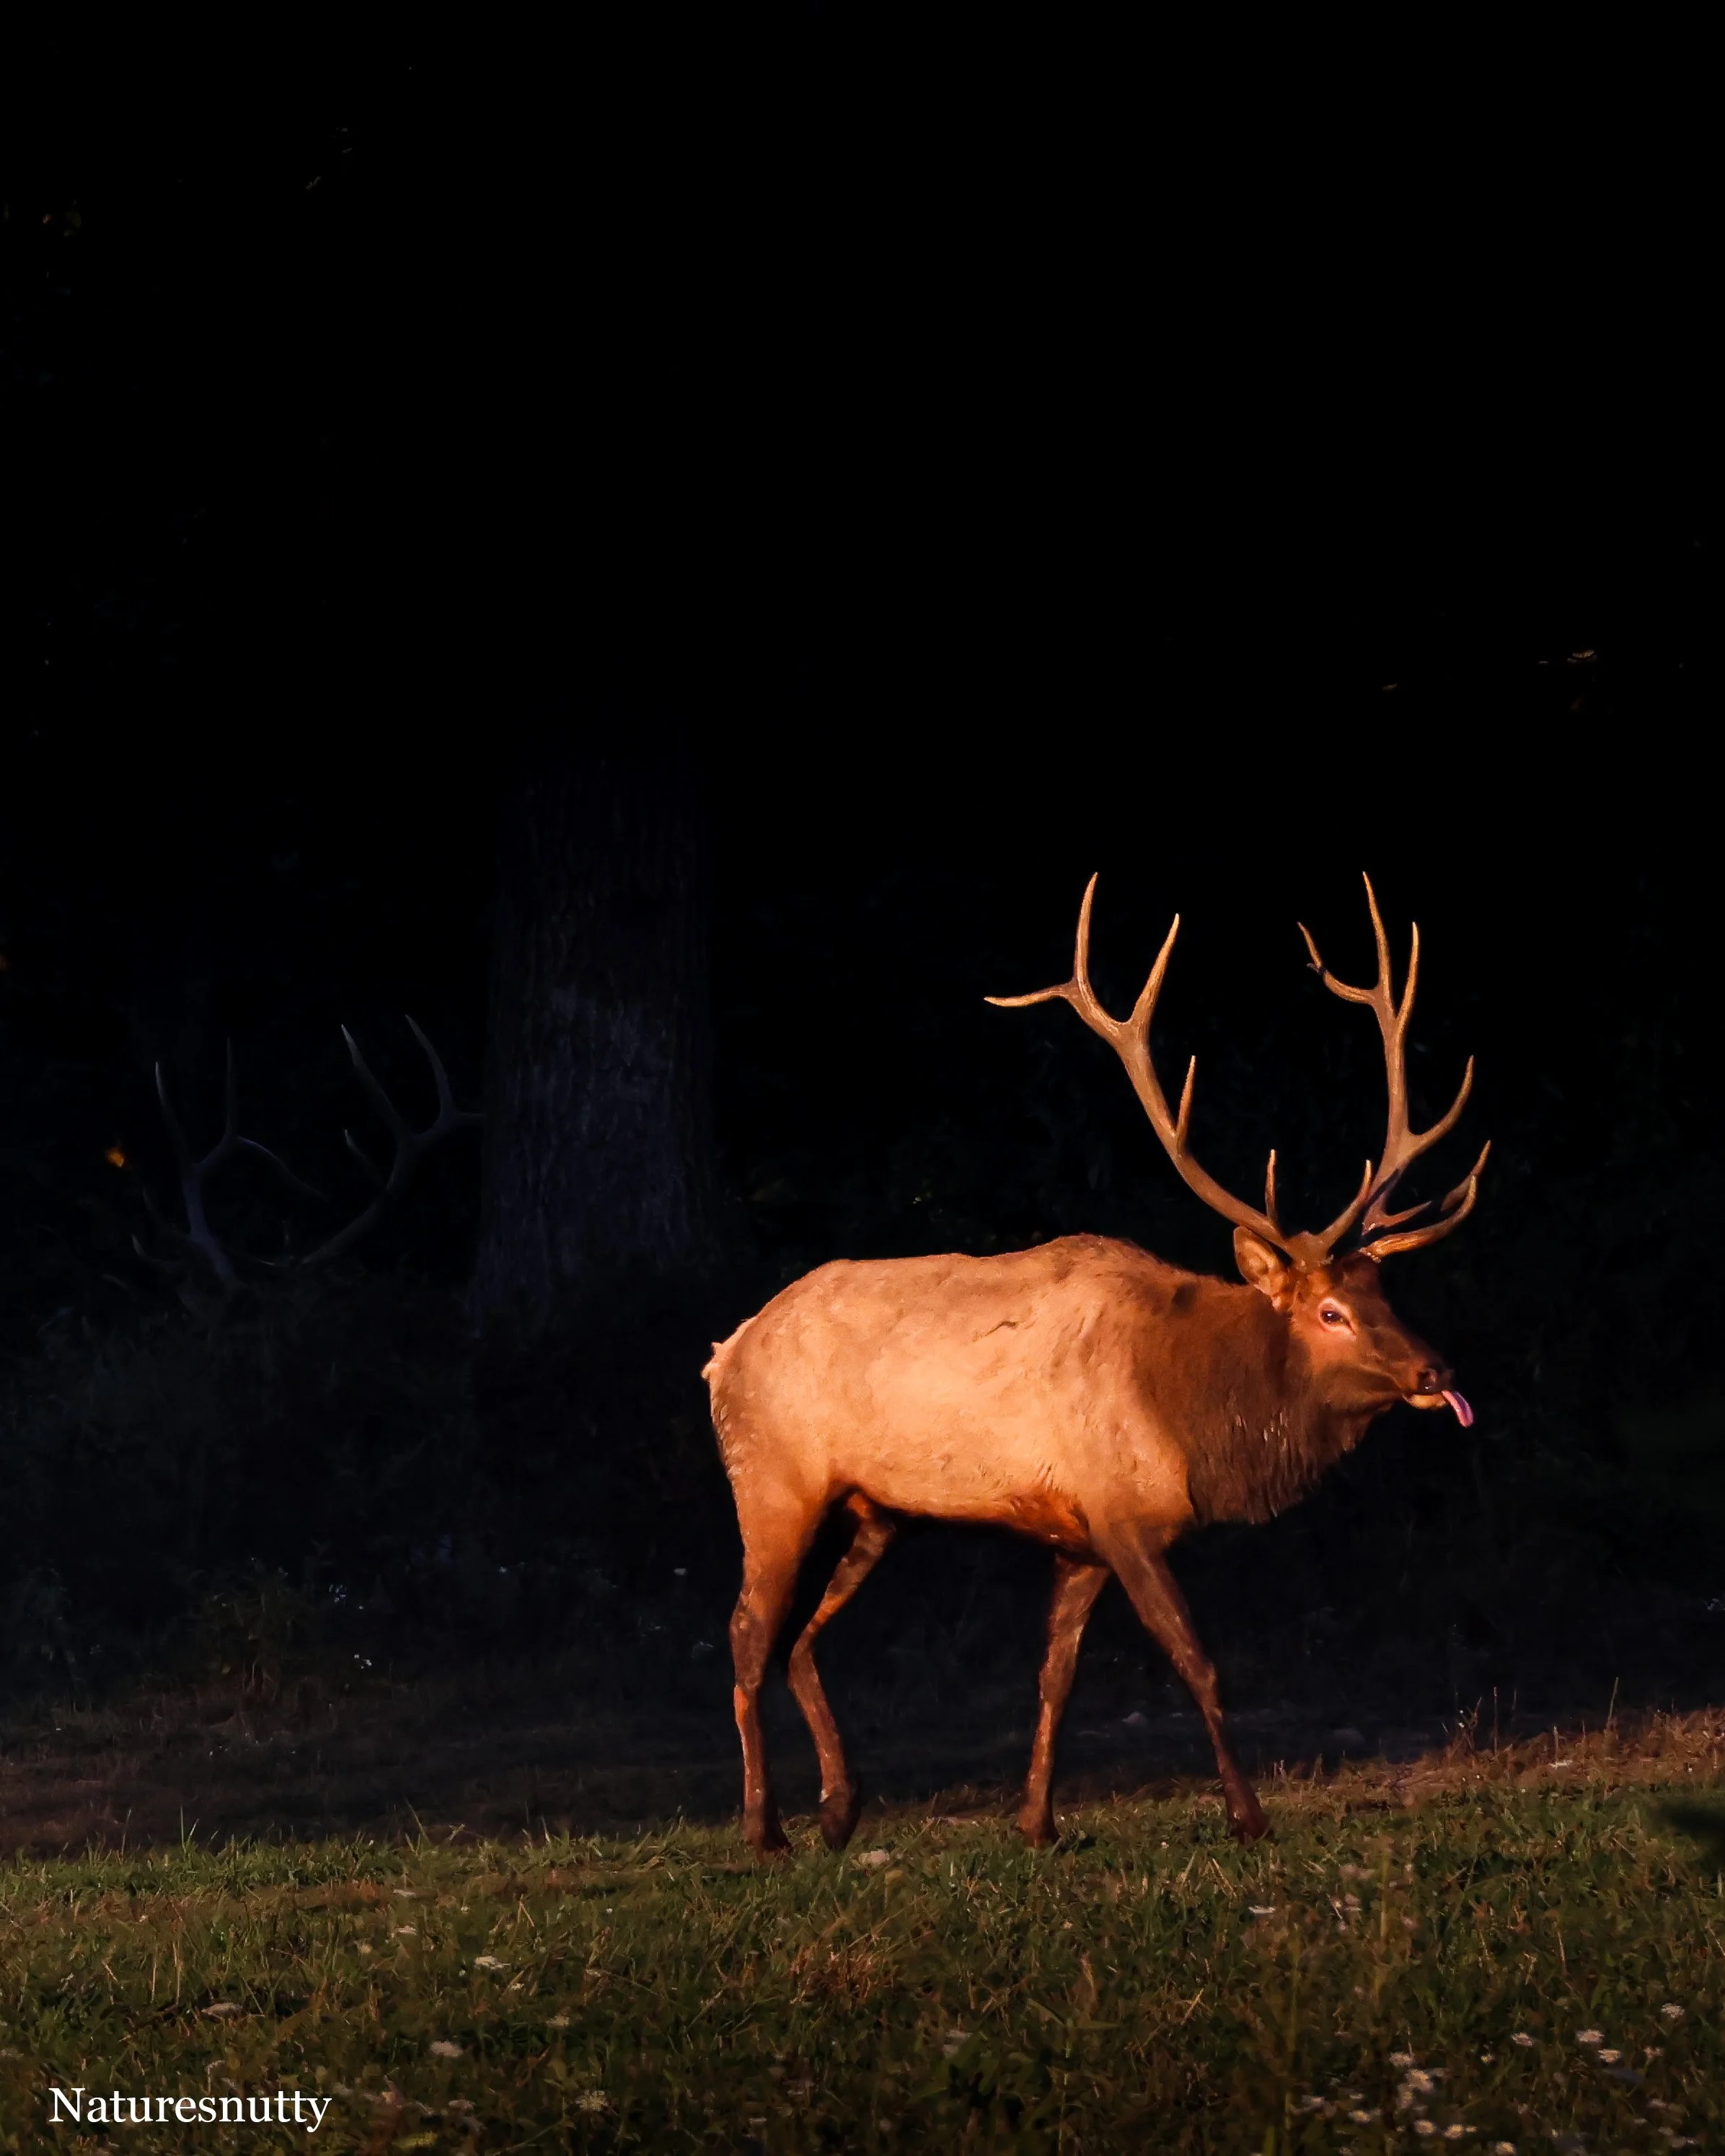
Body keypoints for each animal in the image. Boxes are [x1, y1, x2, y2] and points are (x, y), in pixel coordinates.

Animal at [705, 875, 1487, 1856]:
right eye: (1329, 1311)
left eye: (1384, 1289)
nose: (1435, 1371)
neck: (1192, 1410)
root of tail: (722, 1353)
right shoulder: (1122, 1512)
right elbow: (1197, 1660)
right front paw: (1246, 1813)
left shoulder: (1076, 1537)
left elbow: (1055, 1675)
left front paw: (1037, 1819)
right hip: (771, 1480)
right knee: (747, 1632)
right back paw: (762, 1826)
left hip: (875, 1510)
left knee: (802, 1638)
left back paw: (840, 1809)